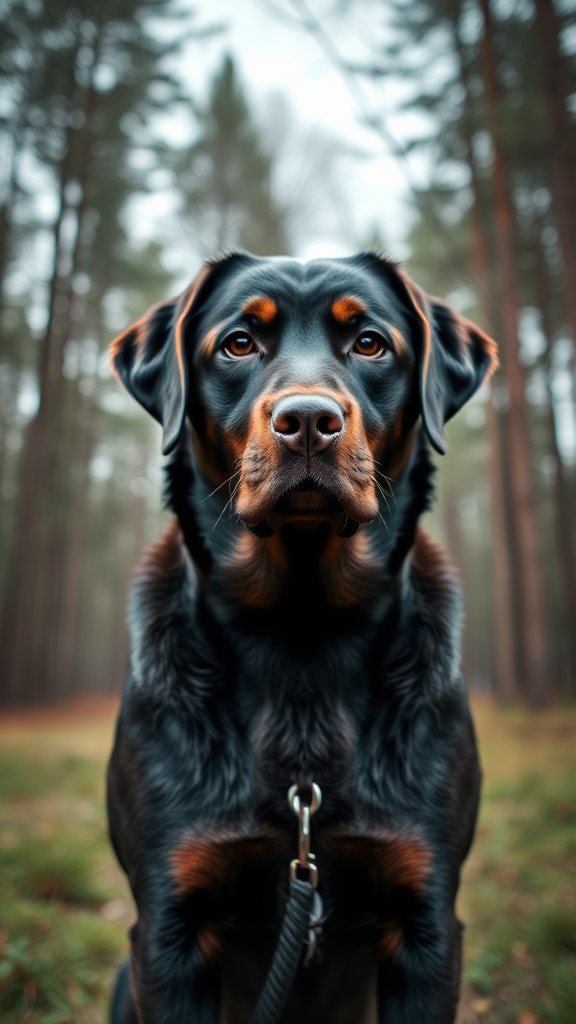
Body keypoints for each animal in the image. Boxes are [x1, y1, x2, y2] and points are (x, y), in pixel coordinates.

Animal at [106, 249, 494, 1024]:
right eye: (237, 343)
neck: (301, 629)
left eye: (370, 343)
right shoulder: (167, 921)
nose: (309, 419)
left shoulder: (428, 913)